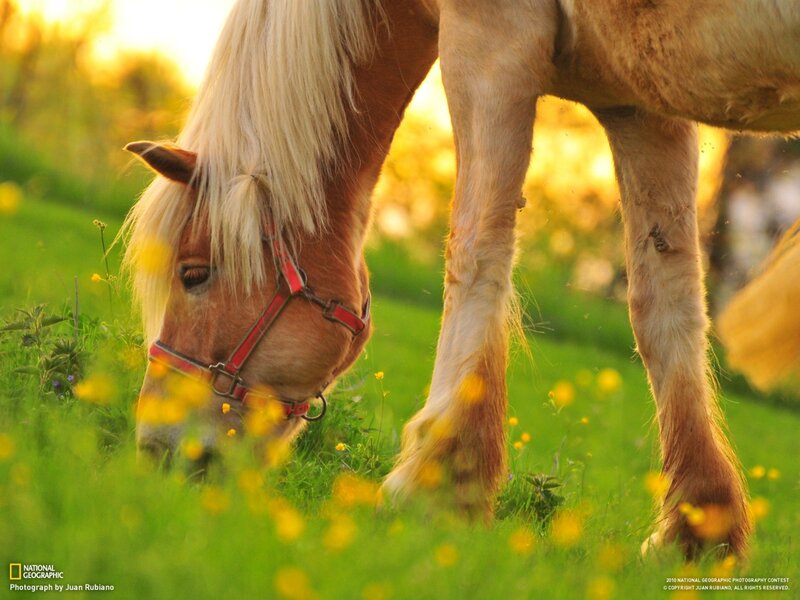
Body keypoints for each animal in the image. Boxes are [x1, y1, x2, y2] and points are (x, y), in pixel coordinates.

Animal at [123, 0, 800, 560]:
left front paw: (440, 481)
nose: (155, 448)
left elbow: (476, 249)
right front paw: (697, 529)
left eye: (193, 274)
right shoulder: (641, 102)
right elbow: (666, 304)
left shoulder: (490, 40)